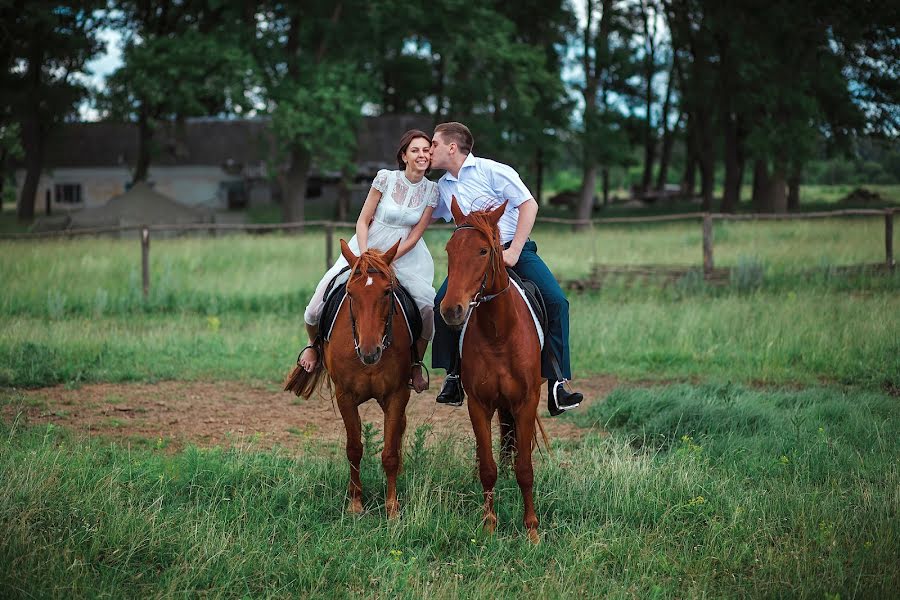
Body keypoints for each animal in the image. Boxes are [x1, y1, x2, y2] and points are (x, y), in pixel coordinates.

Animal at [288, 239, 412, 516]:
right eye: (351, 294)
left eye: (387, 292)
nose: (370, 351)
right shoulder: (344, 395)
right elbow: (354, 448)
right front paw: (355, 503)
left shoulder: (397, 394)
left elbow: (390, 452)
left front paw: (392, 507)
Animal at [440, 197, 544, 544]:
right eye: (449, 249)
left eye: (484, 250)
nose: (452, 310)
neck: (499, 332)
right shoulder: (479, 404)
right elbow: (488, 466)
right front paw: (489, 525)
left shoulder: (526, 402)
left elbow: (525, 468)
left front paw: (532, 529)